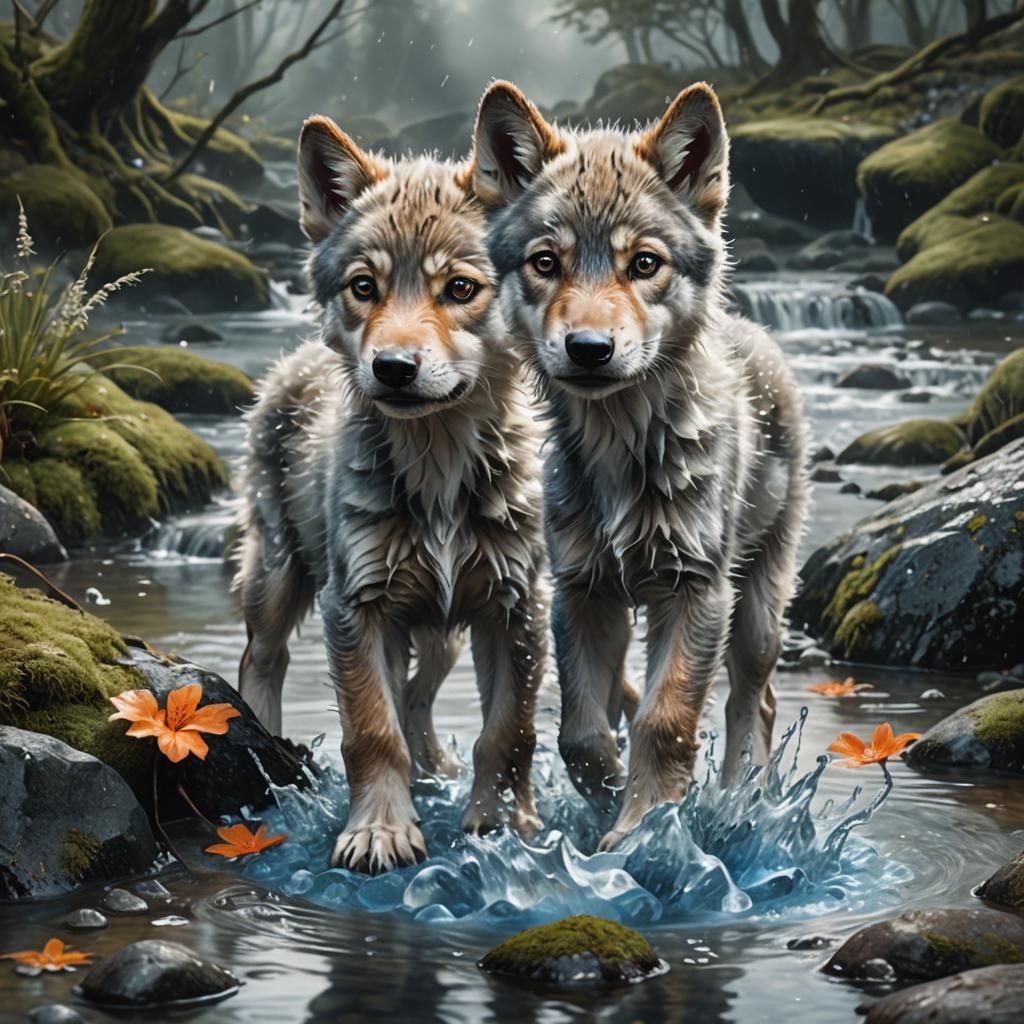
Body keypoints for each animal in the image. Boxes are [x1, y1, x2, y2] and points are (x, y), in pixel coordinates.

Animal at [234, 114, 547, 874]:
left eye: (460, 288)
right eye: (364, 286)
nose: (393, 367)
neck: (439, 468)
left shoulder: (517, 608)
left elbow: (509, 730)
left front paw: (502, 828)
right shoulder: (355, 608)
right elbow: (371, 732)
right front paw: (380, 831)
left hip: (441, 634)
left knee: (419, 696)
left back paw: (437, 768)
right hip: (278, 578)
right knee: (262, 660)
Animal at [471, 81, 809, 850]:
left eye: (644, 264)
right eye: (546, 263)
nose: (590, 349)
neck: (621, 447)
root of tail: (759, 334)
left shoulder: (695, 591)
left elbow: (666, 720)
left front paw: (642, 830)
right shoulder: (580, 593)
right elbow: (579, 734)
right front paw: (605, 806)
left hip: (756, 612)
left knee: (756, 700)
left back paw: (742, 799)